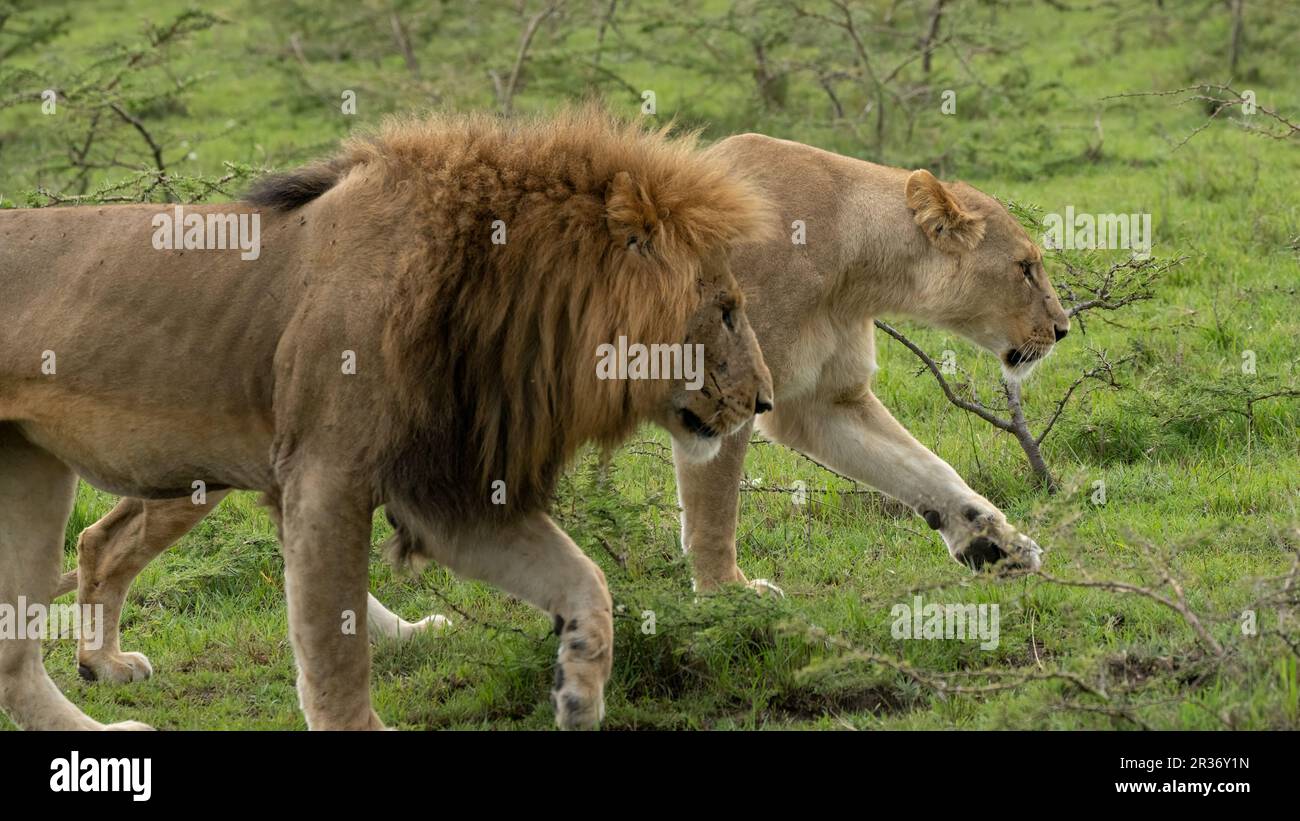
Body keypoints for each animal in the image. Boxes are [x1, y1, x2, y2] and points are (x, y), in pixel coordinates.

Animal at [0, 110, 769, 732]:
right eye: (727, 310)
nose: (762, 401)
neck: (502, 296)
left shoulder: (448, 486)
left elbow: (585, 579)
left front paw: (578, 687)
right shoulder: (326, 475)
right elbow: (336, 648)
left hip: (53, 475)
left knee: (33, 624)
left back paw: (99, 700)